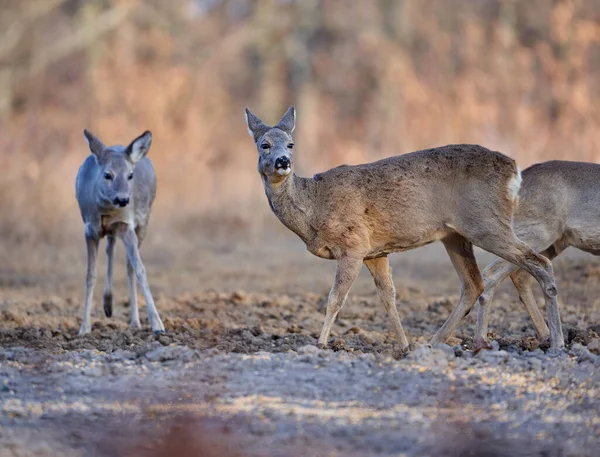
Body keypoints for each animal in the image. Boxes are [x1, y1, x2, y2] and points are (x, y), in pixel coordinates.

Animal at [75, 128, 164, 334]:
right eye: (108, 175)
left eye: (130, 175)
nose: (123, 199)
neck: (106, 211)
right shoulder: (89, 230)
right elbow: (90, 275)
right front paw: (84, 328)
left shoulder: (127, 224)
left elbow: (140, 269)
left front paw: (157, 324)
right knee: (111, 247)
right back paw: (108, 305)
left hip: (143, 222)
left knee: (128, 265)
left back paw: (134, 321)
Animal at [245, 107, 568, 350]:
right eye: (264, 144)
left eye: (290, 144)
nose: (283, 161)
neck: (314, 207)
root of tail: (514, 170)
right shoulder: (375, 252)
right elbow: (389, 298)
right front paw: (404, 346)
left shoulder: (353, 245)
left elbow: (335, 299)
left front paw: (321, 344)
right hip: (456, 235)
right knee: (474, 283)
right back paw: (436, 342)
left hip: (485, 223)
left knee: (539, 262)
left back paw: (557, 342)